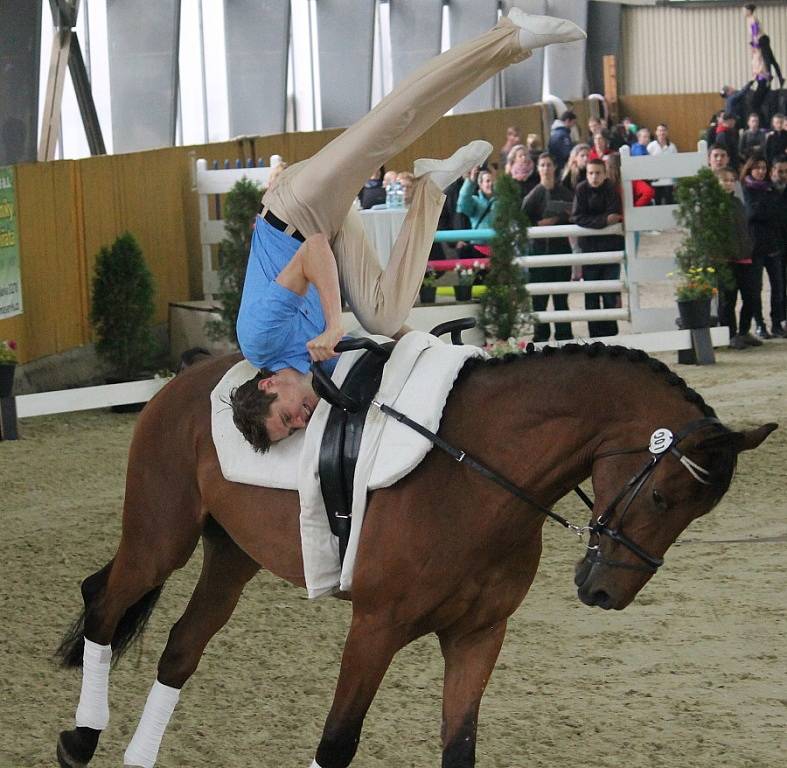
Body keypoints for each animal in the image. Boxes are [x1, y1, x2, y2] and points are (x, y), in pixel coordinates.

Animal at [53, 344, 776, 768]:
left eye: (694, 513)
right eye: (659, 496)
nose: (605, 593)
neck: (473, 477)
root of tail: (181, 383)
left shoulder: (478, 634)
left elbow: (459, 748)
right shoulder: (376, 628)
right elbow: (337, 743)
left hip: (232, 556)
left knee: (181, 646)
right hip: (160, 539)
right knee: (104, 604)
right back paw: (80, 739)